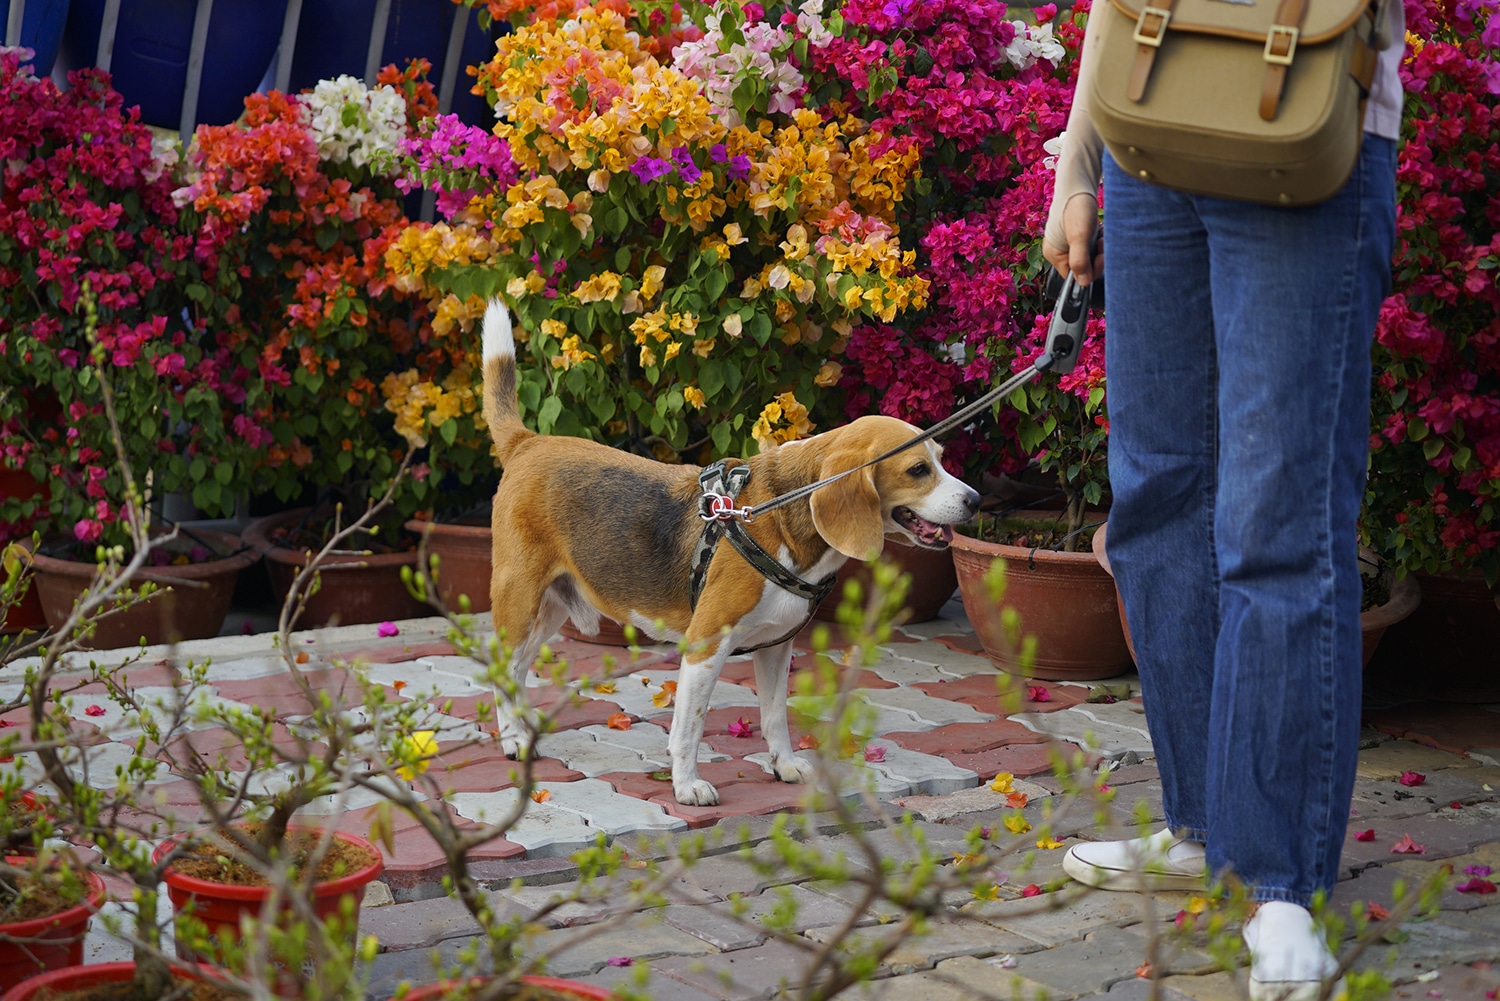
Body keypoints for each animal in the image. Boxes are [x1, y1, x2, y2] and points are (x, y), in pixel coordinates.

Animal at [480, 300, 984, 804]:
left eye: (941, 459)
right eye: (918, 470)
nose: (976, 501)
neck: (781, 514)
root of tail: (528, 442)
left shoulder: (777, 647)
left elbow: (775, 716)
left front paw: (783, 765)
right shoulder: (705, 647)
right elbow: (690, 727)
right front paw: (687, 784)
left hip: (551, 608)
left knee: (517, 670)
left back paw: (521, 728)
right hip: (520, 599)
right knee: (503, 667)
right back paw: (514, 739)